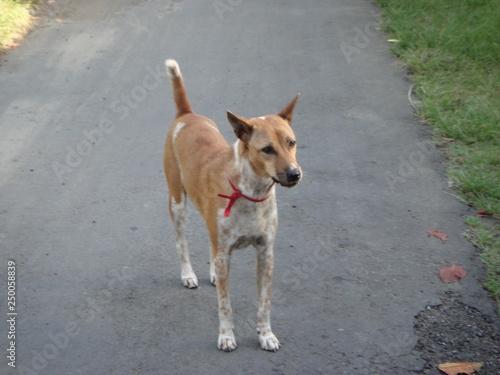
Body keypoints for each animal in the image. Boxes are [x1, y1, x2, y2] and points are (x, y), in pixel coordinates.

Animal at [164, 59, 300, 352]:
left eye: (291, 143)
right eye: (267, 149)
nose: (295, 174)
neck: (250, 193)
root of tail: (187, 115)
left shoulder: (266, 254)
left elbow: (264, 302)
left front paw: (265, 335)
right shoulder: (226, 252)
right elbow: (225, 304)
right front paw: (226, 335)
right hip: (177, 203)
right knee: (181, 243)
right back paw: (188, 274)